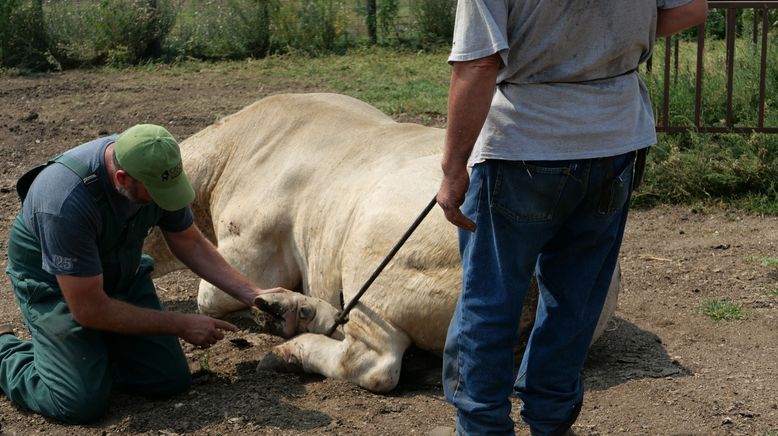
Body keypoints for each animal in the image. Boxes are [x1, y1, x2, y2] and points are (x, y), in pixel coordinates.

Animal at [144, 93, 620, 394]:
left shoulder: (251, 247)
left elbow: (211, 297)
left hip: (372, 251)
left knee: (372, 364)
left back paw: (290, 345)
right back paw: (295, 311)